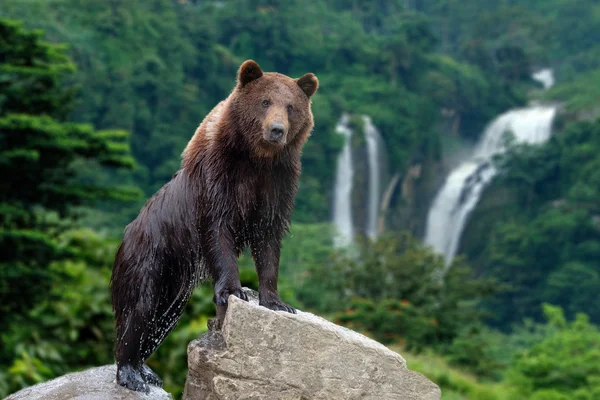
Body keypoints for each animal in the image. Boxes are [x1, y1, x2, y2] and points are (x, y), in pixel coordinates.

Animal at [111, 61, 318, 392]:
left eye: (291, 106)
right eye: (265, 102)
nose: (277, 130)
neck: (256, 158)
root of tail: (127, 233)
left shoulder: (277, 183)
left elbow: (269, 240)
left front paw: (276, 301)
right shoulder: (218, 176)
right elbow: (218, 230)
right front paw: (233, 290)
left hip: (174, 282)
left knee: (162, 317)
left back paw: (147, 370)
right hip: (149, 256)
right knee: (140, 307)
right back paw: (131, 373)